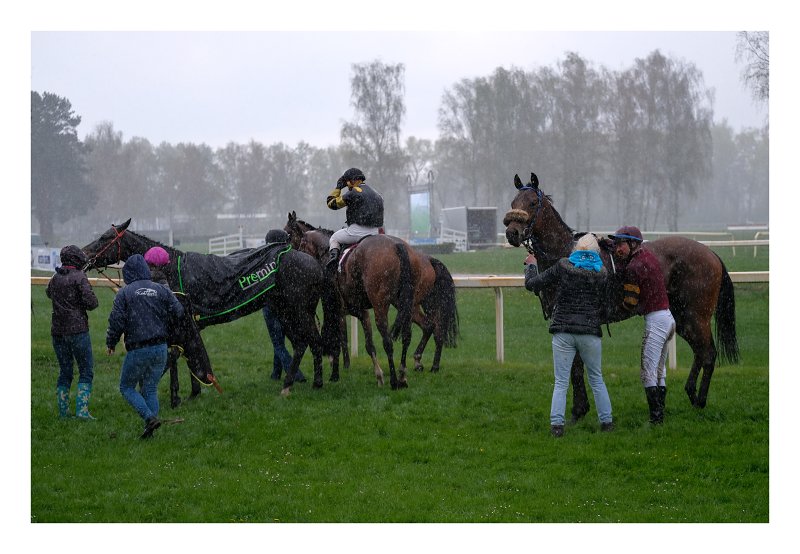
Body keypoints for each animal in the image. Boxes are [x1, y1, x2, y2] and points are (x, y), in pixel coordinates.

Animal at [83, 218, 340, 394]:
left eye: (105, 237)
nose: (83, 254)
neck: (169, 268)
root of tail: (314, 262)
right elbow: (185, 355)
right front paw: (193, 391)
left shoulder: (181, 320)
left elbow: (175, 357)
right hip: (284, 309)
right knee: (301, 343)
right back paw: (291, 383)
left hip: (298, 309)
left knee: (313, 341)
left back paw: (313, 382)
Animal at [286, 209, 456, 386]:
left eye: (288, 233)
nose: (291, 255)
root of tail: (399, 246)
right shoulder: (360, 311)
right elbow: (366, 344)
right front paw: (374, 373)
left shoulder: (337, 309)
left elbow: (338, 340)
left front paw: (336, 373)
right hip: (407, 304)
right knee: (419, 330)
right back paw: (410, 370)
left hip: (382, 304)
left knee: (390, 339)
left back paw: (396, 379)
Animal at [504, 172, 740, 414]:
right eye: (513, 203)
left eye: (533, 203)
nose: (512, 233)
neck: (569, 253)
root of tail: (711, 252)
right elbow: (576, 364)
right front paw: (581, 407)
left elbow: (576, 365)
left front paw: (579, 409)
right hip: (681, 316)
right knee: (700, 352)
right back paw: (691, 392)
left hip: (696, 315)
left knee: (708, 353)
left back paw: (700, 398)